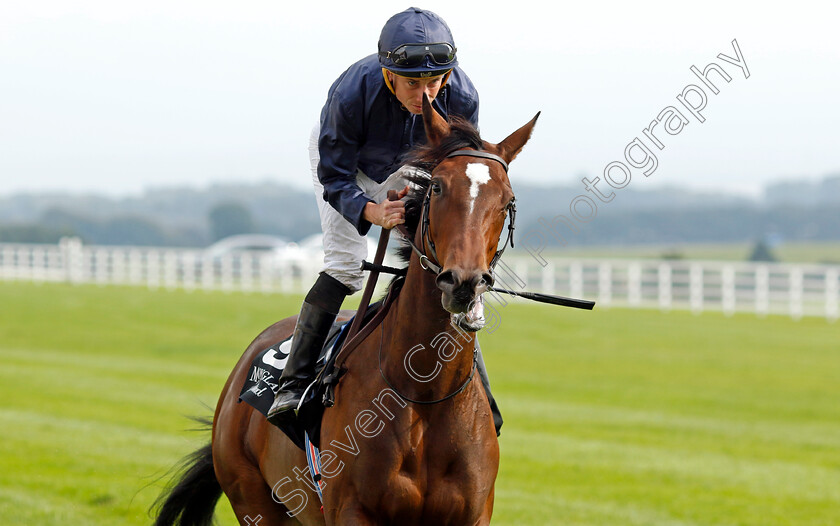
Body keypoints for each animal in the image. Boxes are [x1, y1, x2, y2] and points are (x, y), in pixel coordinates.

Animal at [153, 96, 540, 526]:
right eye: (438, 186)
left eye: (507, 200)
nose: (464, 282)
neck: (424, 393)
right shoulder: (353, 511)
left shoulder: (472, 515)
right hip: (253, 497)